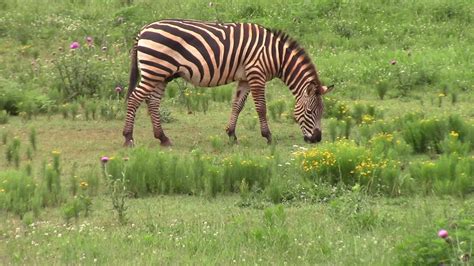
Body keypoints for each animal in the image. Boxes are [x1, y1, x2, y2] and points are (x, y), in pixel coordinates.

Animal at [124, 18, 336, 148]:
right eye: (310, 112)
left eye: (322, 112)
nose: (316, 139)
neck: (276, 56)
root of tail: (143, 30)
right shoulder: (256, 74)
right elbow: (261, 108)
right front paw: (268, 136)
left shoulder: (245, 78)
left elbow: (237, 105)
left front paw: (231, 135)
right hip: (154, 70)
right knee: (134, 99)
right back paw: (128, 138)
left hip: (160, 74)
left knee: (152, 102)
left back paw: (163, 138)